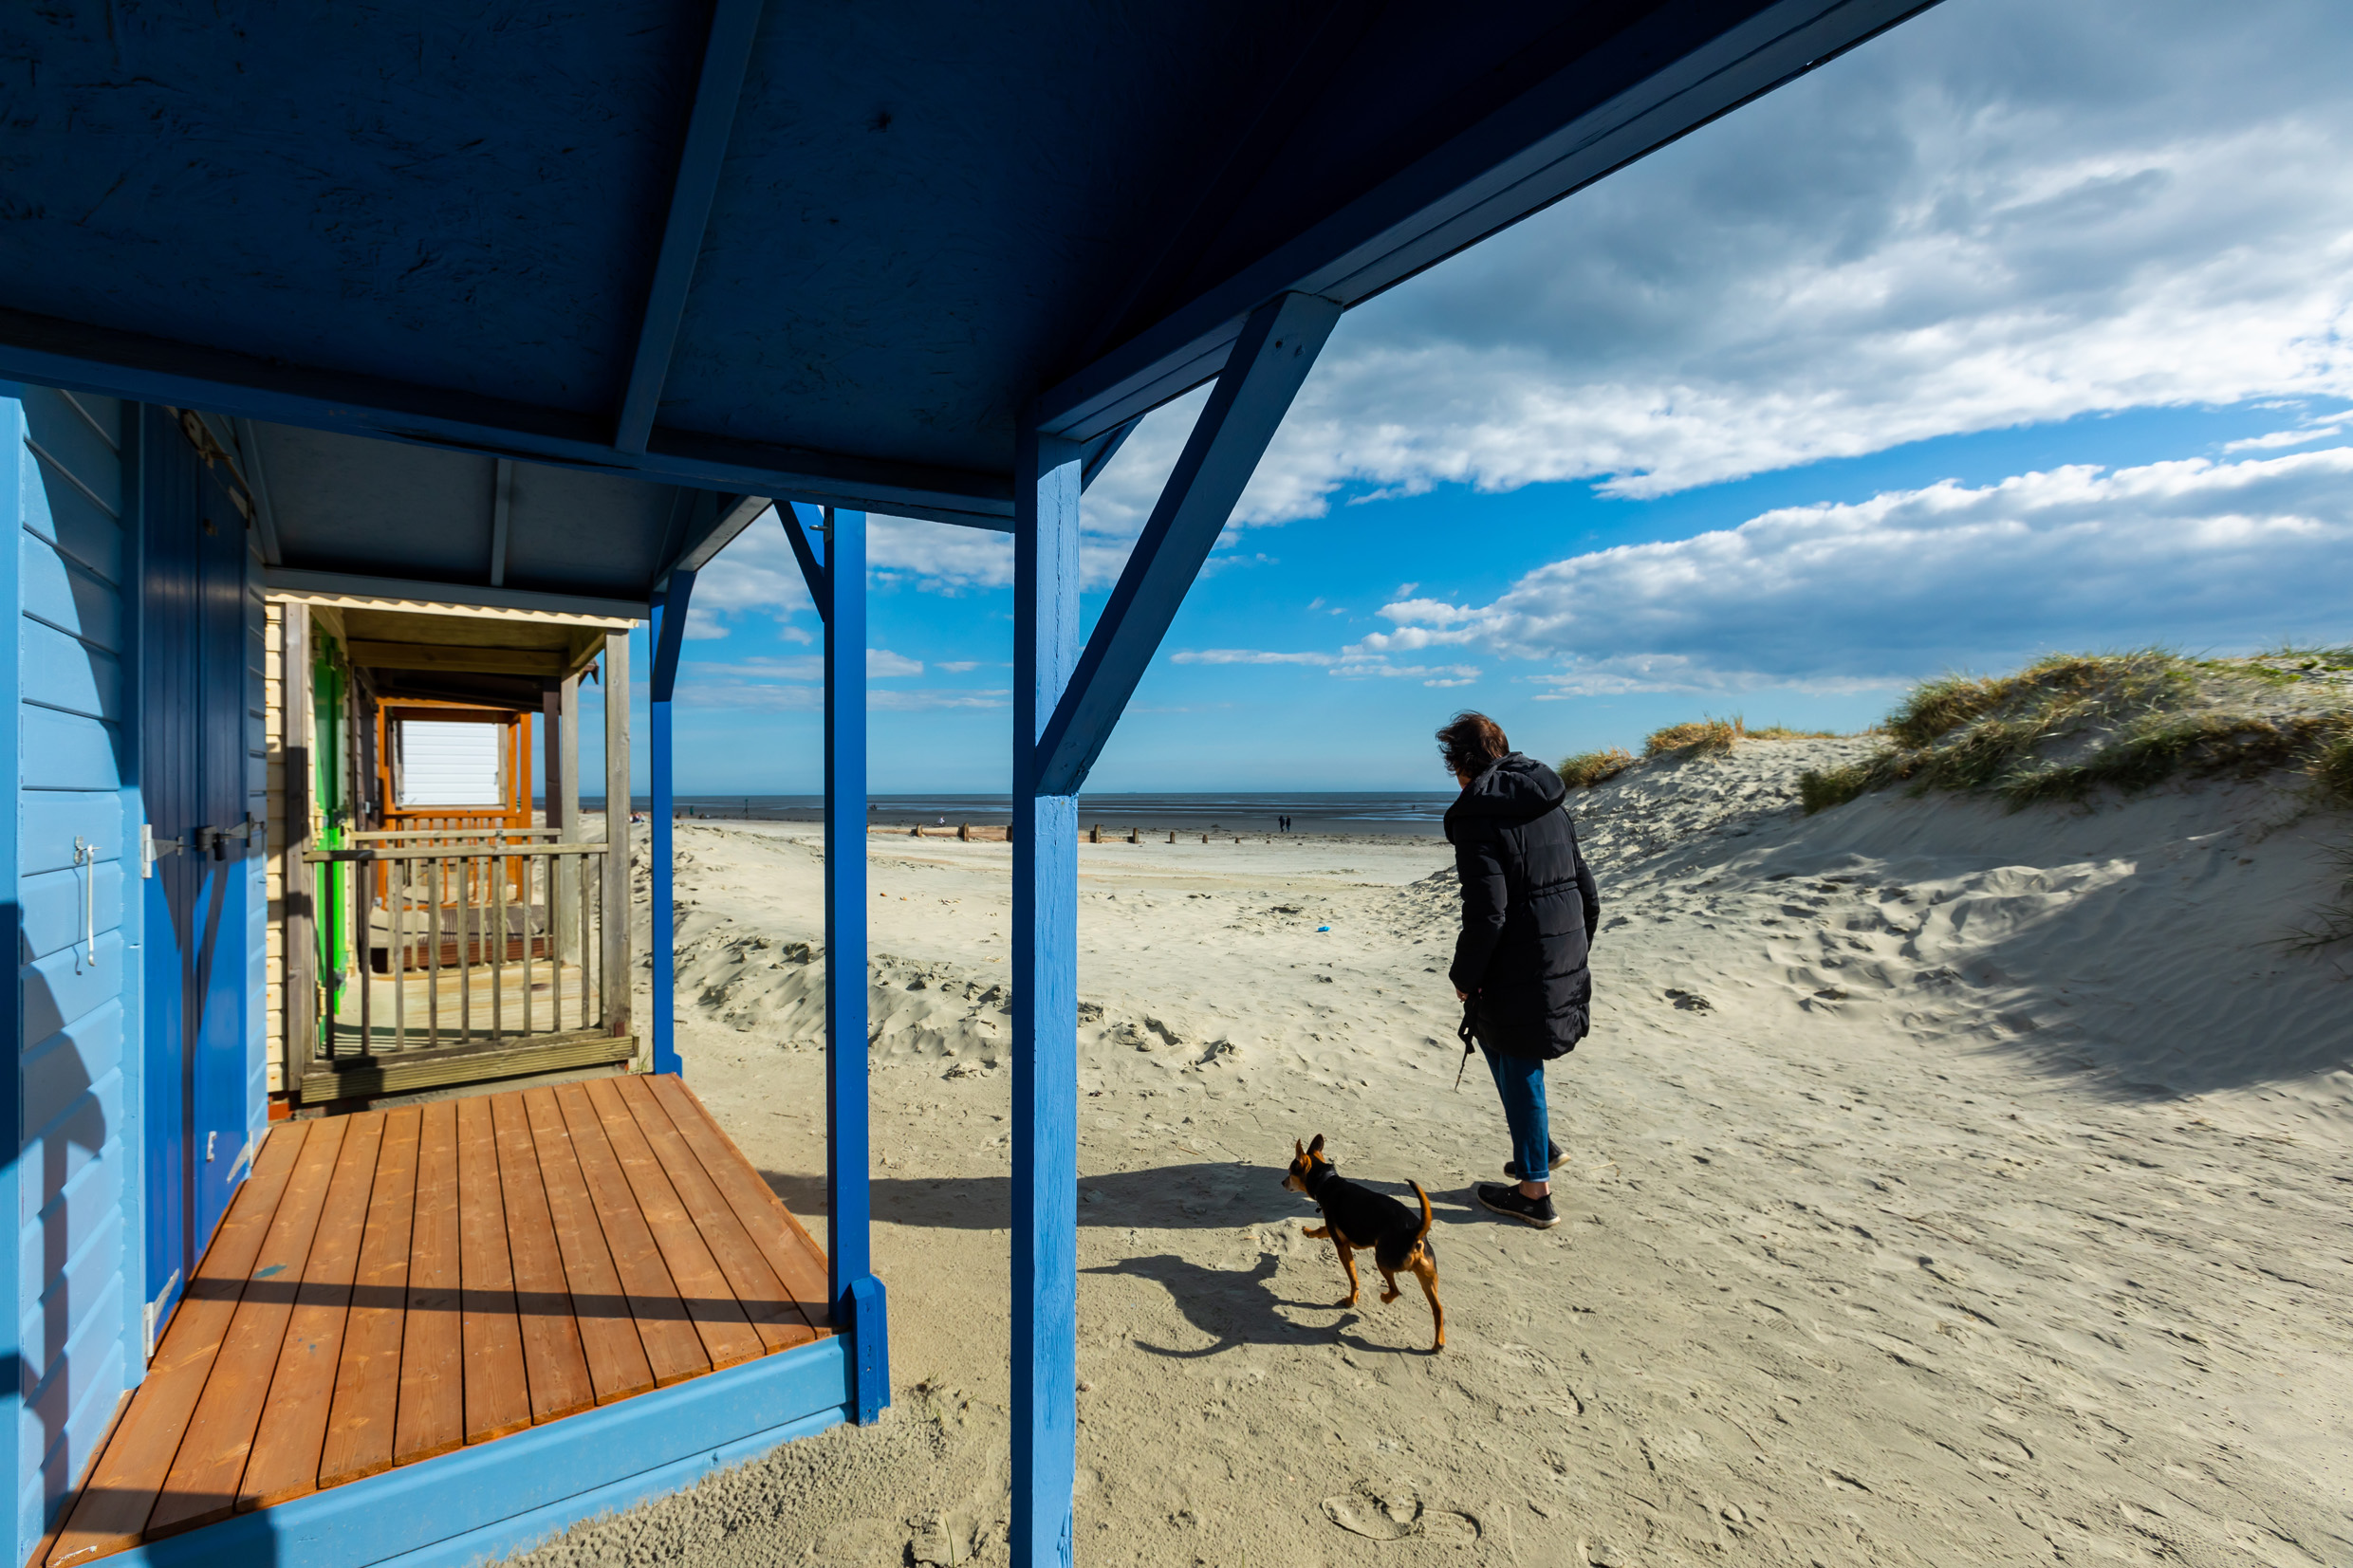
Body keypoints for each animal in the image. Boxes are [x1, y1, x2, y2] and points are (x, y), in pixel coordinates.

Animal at [1289, 1133, 1430, 1354]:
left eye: (1290, 1172)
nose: (1282, 1182)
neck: (1328, 1182)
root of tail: (1414, 1232)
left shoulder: (1342, 1245)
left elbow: (1353, 1278)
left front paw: (1351, 1300)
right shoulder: (1335, 1231)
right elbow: (1322, 1230)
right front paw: (1310, 1233)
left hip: (1383, 1260)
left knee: (1395, 1290)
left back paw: (1385, 1298)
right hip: (1428, 1277)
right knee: (1438, 1312)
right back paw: (1438, 1344)